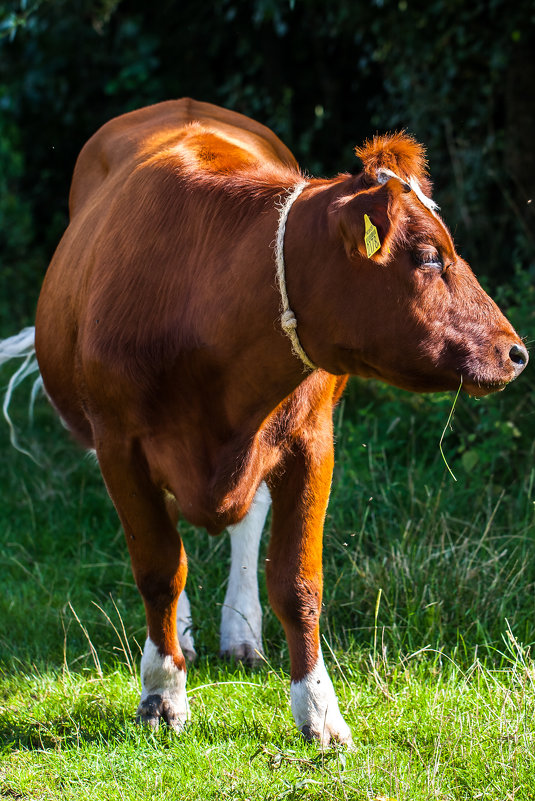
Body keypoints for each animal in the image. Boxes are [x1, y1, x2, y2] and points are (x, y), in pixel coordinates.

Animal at [1, 98, 528, 744]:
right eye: (429, 255)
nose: (516, 352)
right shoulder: (119, 445)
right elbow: (159, 568)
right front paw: (162, 692)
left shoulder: (312, 442)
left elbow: (298, 582)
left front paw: (319, 709)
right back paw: (186, 635)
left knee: (247, 519)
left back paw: (240, 631)